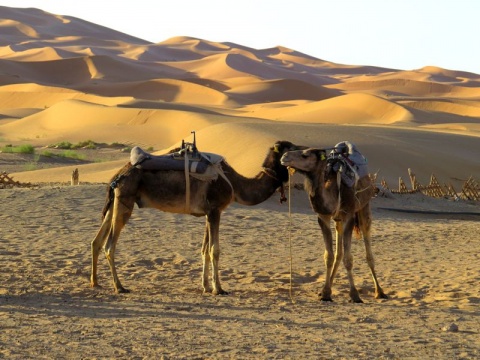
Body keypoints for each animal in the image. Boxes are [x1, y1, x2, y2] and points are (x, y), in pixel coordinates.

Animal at [90, 139, 304, 294]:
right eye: (291, 148)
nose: (307, 150)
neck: (236, 183)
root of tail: (119, 175)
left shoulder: (209, 212)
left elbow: (204, 250)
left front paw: (206, 286)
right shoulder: (215, 209)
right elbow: (215, 250)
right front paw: (219, 289)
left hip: (117, 201)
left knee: (96, 241)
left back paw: (95, 282)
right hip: (125, 199)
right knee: (109, 245)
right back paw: (119, 287)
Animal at [282, 142, 386, 302]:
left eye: (305, 155)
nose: (284, 156)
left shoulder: (349, 216)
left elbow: (349, 259)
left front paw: (354, 294)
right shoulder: (323, 217)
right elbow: (329, 256)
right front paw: (325, 293)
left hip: (364, 207)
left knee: (368, 250)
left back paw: (379, 291)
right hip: (338, 220)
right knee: (338, 253)